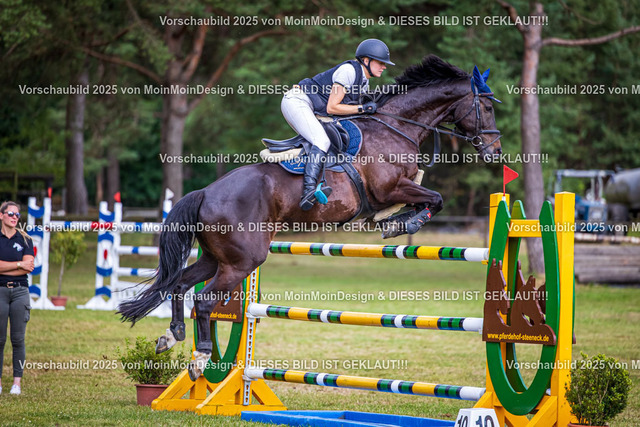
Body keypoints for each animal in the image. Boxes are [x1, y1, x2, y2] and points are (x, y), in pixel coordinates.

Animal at [118, 55, 503, 380]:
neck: (394, 128)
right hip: (242, 261)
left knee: (180, 284)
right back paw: (199, 358)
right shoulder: (391, 188)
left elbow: (428, 196)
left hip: (217, 257)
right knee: (205, 301)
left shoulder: (401, 188)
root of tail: (205, 193)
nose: (495, 151)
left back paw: (172, 336)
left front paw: (394, 221)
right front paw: (401, 223)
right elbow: (434, 199)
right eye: (485, 107)